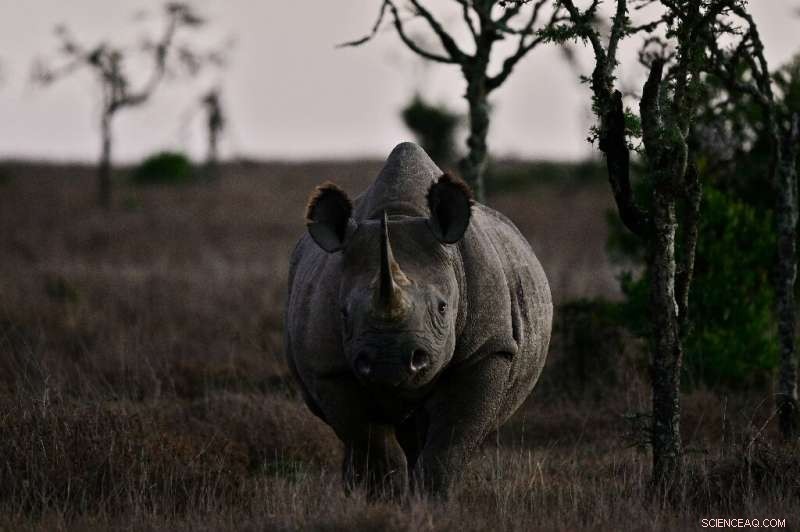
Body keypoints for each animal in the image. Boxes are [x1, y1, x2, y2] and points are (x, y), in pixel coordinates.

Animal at [285, 142, 552, 496]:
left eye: (442, 308)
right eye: (344, 313)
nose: (389, 363)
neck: (399, 214)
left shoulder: (487, 350)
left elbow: (449, 442)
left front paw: (431, 499)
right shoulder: (330, 368)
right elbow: (369, 442)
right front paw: (383, 498)